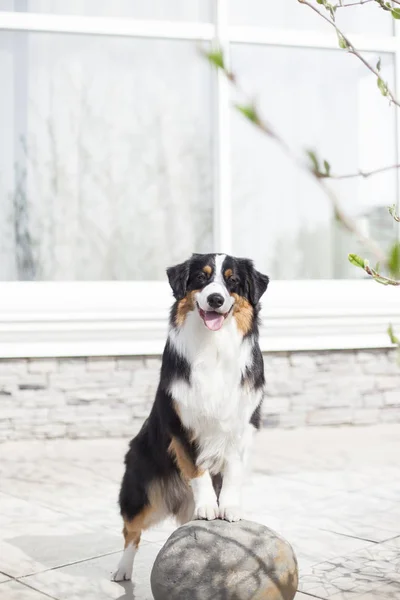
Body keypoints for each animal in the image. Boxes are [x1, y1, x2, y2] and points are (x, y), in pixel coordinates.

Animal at [112, 252, 268, 580]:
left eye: (233, 281)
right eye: (201, 277)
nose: (216, 299)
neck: (214, 346)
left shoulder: (242, 424)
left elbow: (233, 471)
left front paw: (229, 507)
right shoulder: (181, 425)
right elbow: (197, 471)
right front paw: (208, 506)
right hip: (143, 491)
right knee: (131, 529)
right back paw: (123, 569)